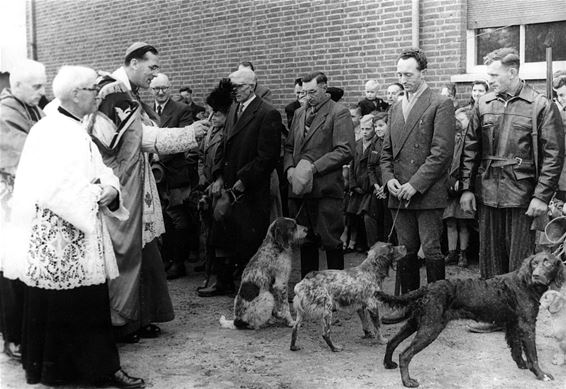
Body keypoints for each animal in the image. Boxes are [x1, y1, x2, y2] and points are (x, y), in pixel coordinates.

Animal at [378, 250, 566, 386]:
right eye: (534, 263)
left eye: (548, 263)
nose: (536, 275)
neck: (525, 283)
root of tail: (427, 287)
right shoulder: (527, 325)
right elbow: (533, 355)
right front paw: (541, 375)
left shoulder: (513, 324)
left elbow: (517, 350)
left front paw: (522, 366)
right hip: (430, 328)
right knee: (405, 354)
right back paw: (407, 381)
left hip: (417, 322)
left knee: (392, 341)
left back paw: (388, 364)